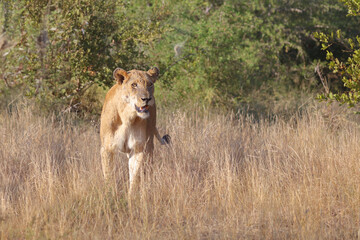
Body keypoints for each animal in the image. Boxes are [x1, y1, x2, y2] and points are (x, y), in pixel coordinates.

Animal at [100, 66, 170, 195]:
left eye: (150, 84)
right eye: (134, 85)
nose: (147, 99)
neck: (127, 117)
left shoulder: (139, 148)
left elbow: (135, 177)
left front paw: (131, 197)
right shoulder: (107, 148)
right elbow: (109, 175)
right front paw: (110, 194)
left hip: (149, 146)